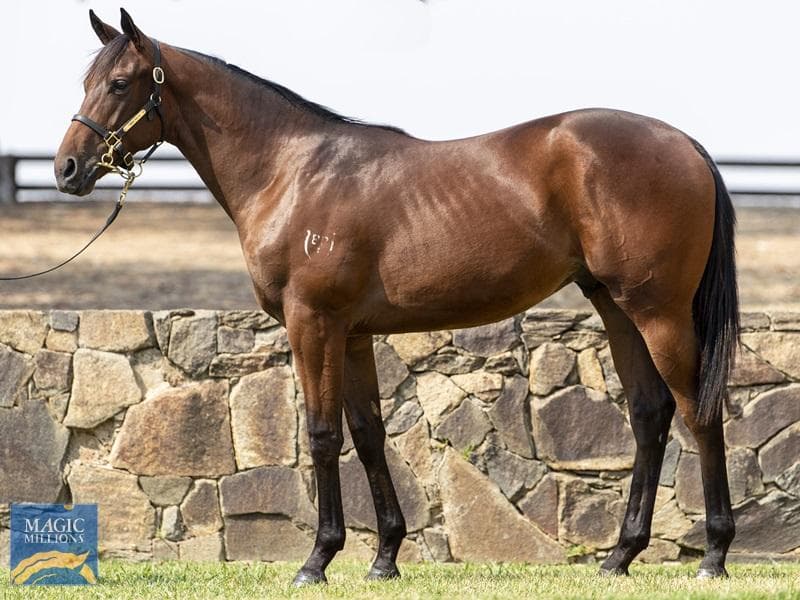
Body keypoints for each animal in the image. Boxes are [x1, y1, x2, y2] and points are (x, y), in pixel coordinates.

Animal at [55, 9, 739, 585]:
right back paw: (620, 556)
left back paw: (714, 556)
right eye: (85, 80)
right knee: (651, 412)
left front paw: (317, 560)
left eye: (119, 83)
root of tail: (685, 144)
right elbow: (366, 433)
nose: (66, 169)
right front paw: (383, 557)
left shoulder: (313, 324)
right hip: (617, 306)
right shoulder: (352, 333)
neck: (291, 171)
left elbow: (322, 432)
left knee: (700, 412)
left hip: (657, 312)